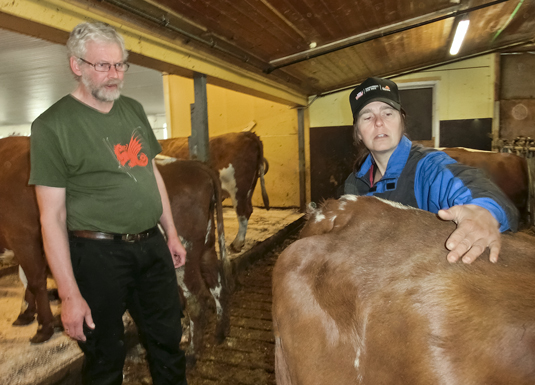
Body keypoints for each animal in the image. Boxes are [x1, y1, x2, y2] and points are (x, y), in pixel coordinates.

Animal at [154, 156, 231, 366]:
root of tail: (197, 165)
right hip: (207, 249)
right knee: (218, 287)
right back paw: (219, 334)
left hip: (182, 257)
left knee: (197, 302)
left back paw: (191, 355)